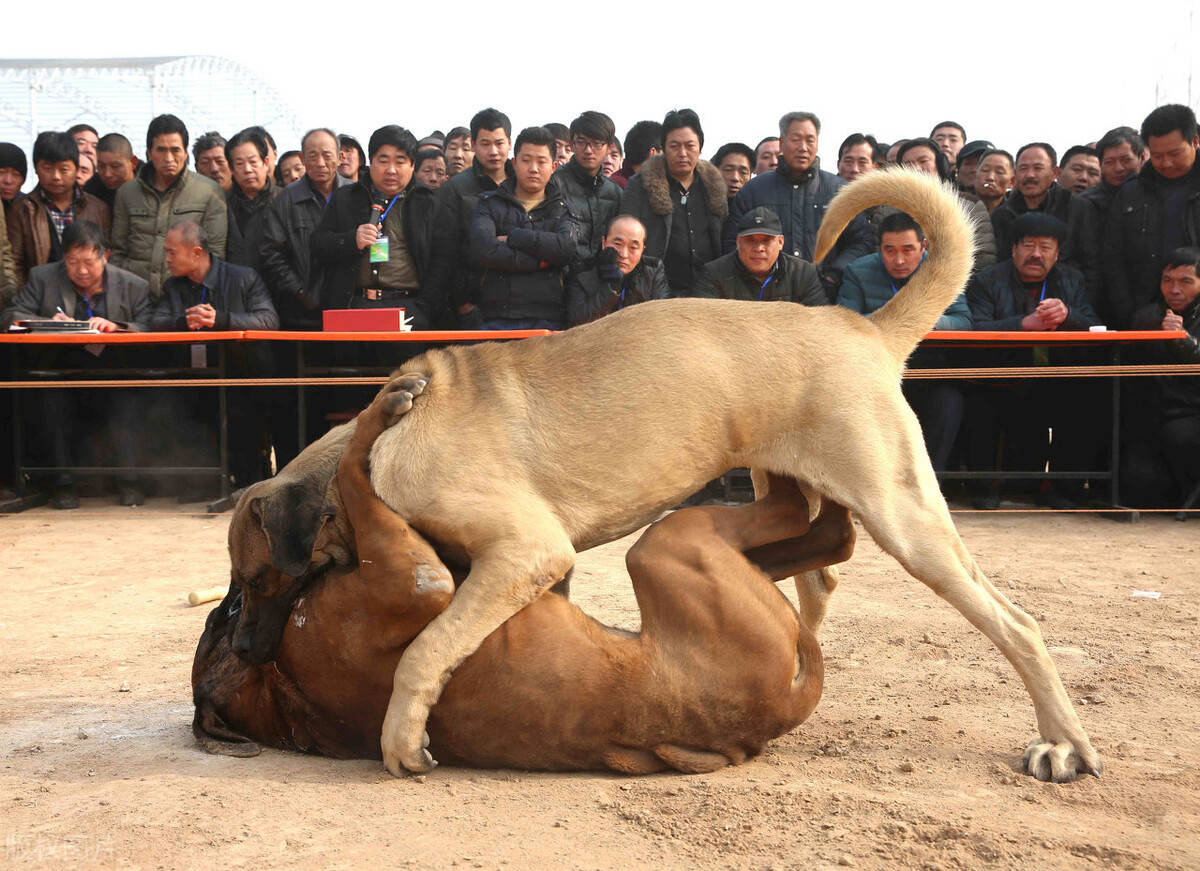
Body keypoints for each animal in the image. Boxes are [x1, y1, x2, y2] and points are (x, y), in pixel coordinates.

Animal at [196, 386, 854, 772]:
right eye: (234, 596)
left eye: (252, 582)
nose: (246, 646)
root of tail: (782, 703)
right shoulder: (456, 570)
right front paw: (377, 415)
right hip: (667, 545)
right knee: (817, 528)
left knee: (817, 534)